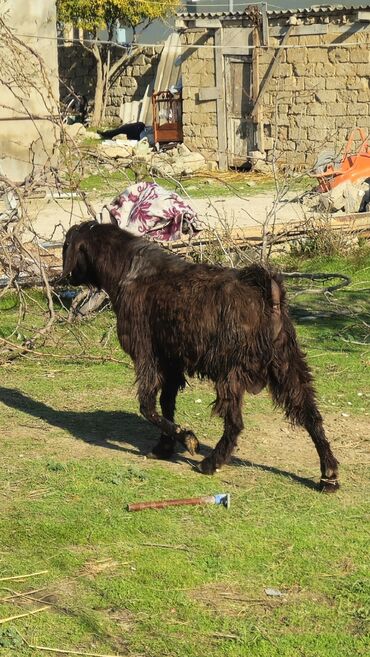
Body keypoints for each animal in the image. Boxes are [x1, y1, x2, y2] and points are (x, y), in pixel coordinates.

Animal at [62, 223, 340, 490]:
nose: (64, 278)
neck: (128, 267)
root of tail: (264, 291)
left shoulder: (147, 356)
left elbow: (147, 406)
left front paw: (186, 438)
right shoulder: (171, 363)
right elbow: (166, 404)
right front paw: (164, 447)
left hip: (231, 373)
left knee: (235, 423)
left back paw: (211, 462)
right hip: (287, 366)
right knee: (311, 415)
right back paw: (329, 474)